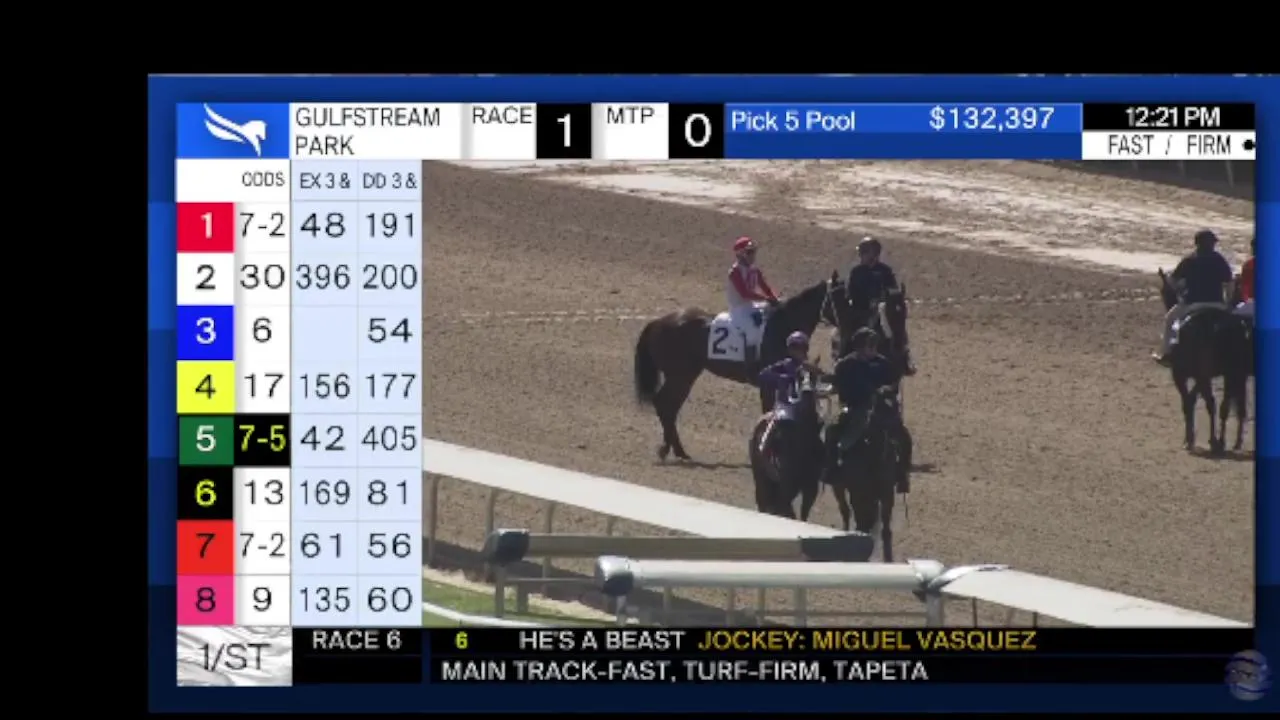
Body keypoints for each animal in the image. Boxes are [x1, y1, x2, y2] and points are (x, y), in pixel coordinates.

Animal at [633, 277, 840, 461]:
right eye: (841, 296)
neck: (782, 326)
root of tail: (658, 322)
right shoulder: (768, 382)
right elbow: (769, 411)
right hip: (681, 375)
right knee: (664, 404)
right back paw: (669, 450)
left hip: (685, 375)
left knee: (669, 407)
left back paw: (676, 451)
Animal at [748, 367, 827, 520]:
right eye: (800, 376)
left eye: (814, 376)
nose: (808, 391)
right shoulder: (798, 484)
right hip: (774, 481)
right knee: (774, 503)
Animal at [828, 385, 905, 561]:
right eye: (881, 408)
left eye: (897, 405)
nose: (897, 429)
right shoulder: (858, 492)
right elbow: (859, 517)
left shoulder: (886, 494)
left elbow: (885, 528)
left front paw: (888, 558)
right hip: (838, 487)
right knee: (845, 510)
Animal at [1156, 268, 1252, 454]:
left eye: (1163, 291)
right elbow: (1192, 402)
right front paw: (1191, 439)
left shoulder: (1185, 374)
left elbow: (1193, 402)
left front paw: (1193, 439)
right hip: (1227, 373)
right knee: (1222, 404)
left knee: (1215, 404)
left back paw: (1217, 441)